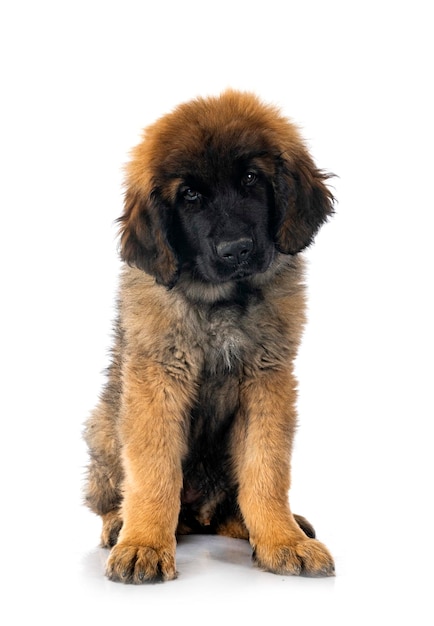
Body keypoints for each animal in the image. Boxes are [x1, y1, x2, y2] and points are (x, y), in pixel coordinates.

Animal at [84, 89, 336, 580]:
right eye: (191, 195)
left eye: (252, 179)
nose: (236, 250)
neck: (220, 303)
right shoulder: (156, 379)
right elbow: (155, 471)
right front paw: (143, 543)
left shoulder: (268, 380)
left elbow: (265, 471)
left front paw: (282, 540)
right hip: (104, 425)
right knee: (112, 493)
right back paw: (118, 523)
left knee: (231, 506)